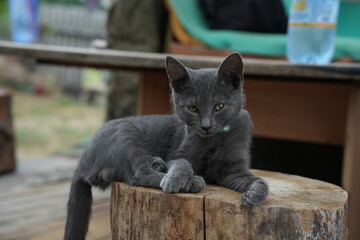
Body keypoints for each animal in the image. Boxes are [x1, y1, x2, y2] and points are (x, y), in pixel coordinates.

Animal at [64, 53, 268, 240]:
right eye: (192, 108)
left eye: (219, 107)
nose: (206, 126)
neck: (213, 139)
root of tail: (81, 162)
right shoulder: (177, 153)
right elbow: (182, 163)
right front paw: (174, 179)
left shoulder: (233, 172)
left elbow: (259, 181)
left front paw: (254, 195)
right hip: (126, 132)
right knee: (138, 174)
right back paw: (191, 181)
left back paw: (158, 164)